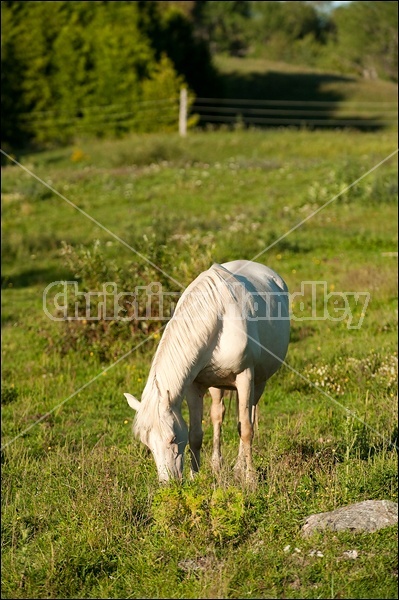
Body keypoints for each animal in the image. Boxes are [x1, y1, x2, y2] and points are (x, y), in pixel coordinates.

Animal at [125, 258, 290, 482]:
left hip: (258, 382)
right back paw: (217, 464)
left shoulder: (245, 376)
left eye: (172, 438)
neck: (218, 316)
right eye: (147, 442)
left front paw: (250, 479)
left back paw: (239, 468)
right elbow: (195, 434)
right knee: (218, 415)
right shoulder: (194, 386)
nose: (168, 484)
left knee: (248, 417)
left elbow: (246, 429)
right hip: (217, 384)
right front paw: (196, 477)